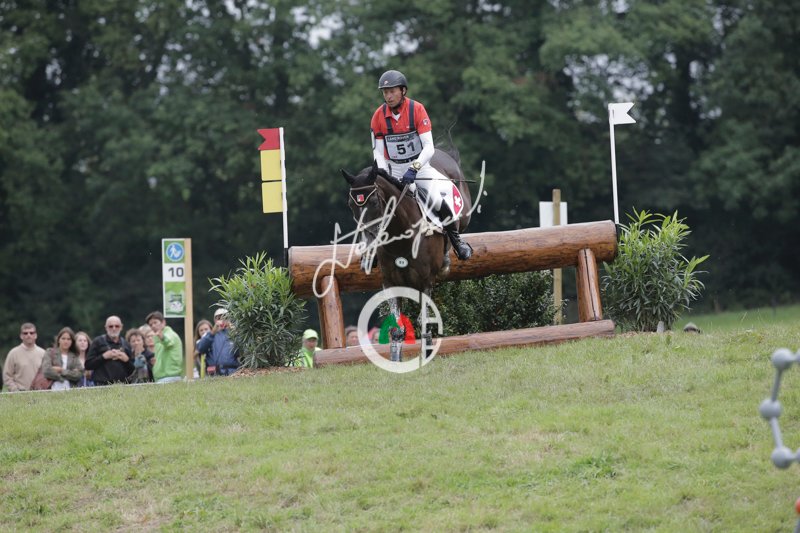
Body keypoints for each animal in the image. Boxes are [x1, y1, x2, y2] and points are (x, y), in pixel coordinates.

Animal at [341, 148, 472, 360]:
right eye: (350, 205)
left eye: (374, 202)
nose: (369, 242)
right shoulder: (390, 282)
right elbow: (397, 327)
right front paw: (396, 358)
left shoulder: (426, 281)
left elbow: (423, 320)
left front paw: (427, 353)